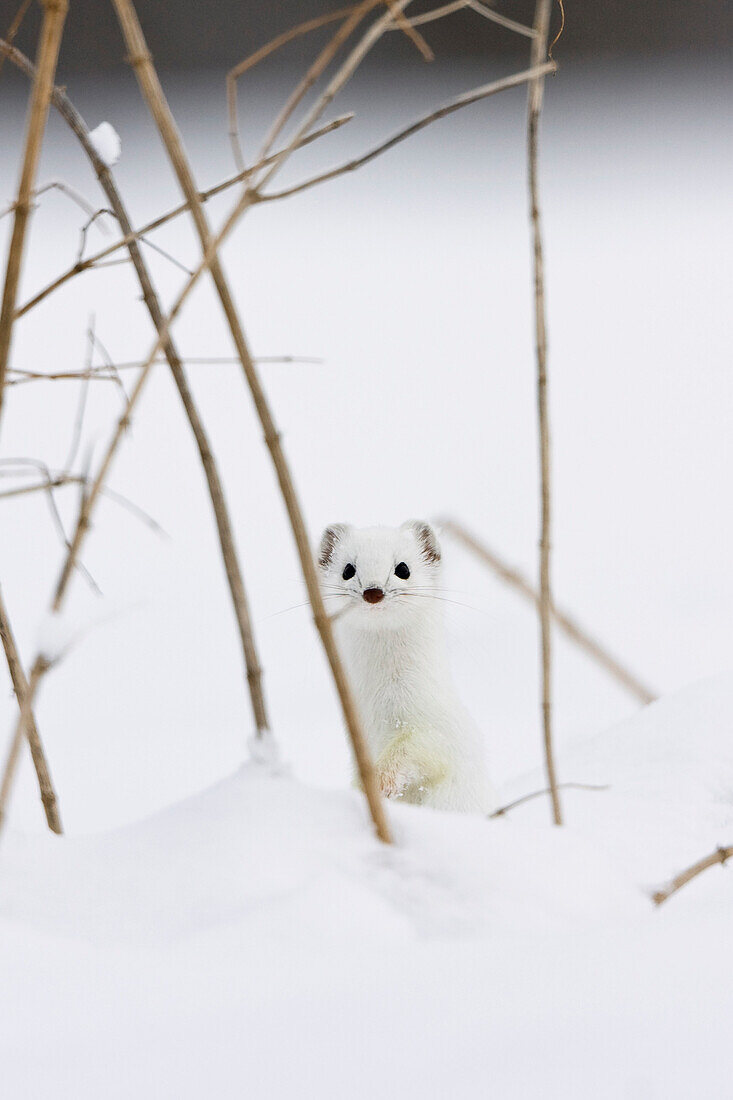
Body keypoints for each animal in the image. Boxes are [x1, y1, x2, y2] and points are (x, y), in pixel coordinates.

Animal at [314, 519, 490, 814]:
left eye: (403, 568)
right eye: (348, 569)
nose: (373, 592)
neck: (383, 706)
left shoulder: (440, 727)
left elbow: (419, 749)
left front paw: (380, 779)